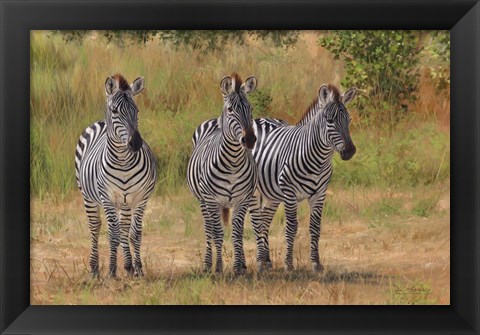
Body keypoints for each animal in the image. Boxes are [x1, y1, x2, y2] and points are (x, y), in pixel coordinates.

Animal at [75, 74, 158, 278]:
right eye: (114, 110)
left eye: (136, 110)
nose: (135, 143)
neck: (123, 162)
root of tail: (100, 122)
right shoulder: (107, 198)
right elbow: (113, 234)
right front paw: (112, 271)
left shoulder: (141, 198)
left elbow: (134, 233)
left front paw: (137, 268)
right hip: (88, 197)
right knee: (95, 227)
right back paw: (94, 269)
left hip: (126, 202)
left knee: (124, 228)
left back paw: (128, 266)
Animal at [187, 73, 258, 276]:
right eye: (231, 109)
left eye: (250, 108)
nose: (250, 140)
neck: (233, 162)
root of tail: (214, 120)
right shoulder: (212, 200)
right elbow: (217, 233)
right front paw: (218, 267)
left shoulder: (242, 200)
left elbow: (237, 233)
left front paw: (238, 267)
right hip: (203, 201)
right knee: (209, 229)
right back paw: (207, 265)